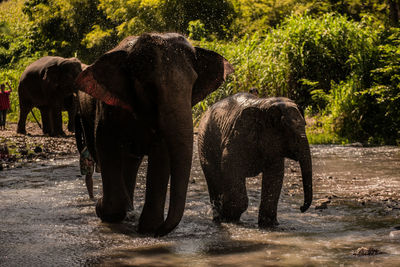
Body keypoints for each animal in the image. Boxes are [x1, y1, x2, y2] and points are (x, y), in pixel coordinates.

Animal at [75, 33, 234, 237]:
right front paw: (104, 210)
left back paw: (129, 210)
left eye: (193, 84)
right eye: (150, 87)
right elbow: (107, 147)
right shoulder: (107, 109)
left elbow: (161, 154)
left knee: (131, 161)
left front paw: (149, 229)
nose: (161, 231)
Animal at [197, 92, 312, 228]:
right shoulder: (236, 138)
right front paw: (230, 218)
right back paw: (219, 217)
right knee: (214, 176)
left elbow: (275, 175)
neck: (265, 104)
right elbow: (230, 166)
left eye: (305, 124)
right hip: (204, 142)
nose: (301, 208)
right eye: (285, 128)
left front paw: (269, 225)